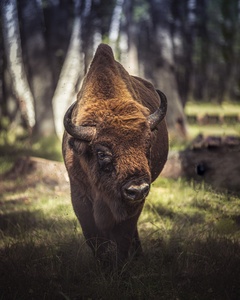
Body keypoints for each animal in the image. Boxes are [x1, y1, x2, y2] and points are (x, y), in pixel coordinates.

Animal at [62, 43, 168, 266]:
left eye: (147, 144)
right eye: (102, 153)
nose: (137, 188)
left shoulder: (132, 204)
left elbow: (123, 236)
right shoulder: (80, 195)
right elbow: (94, 237)